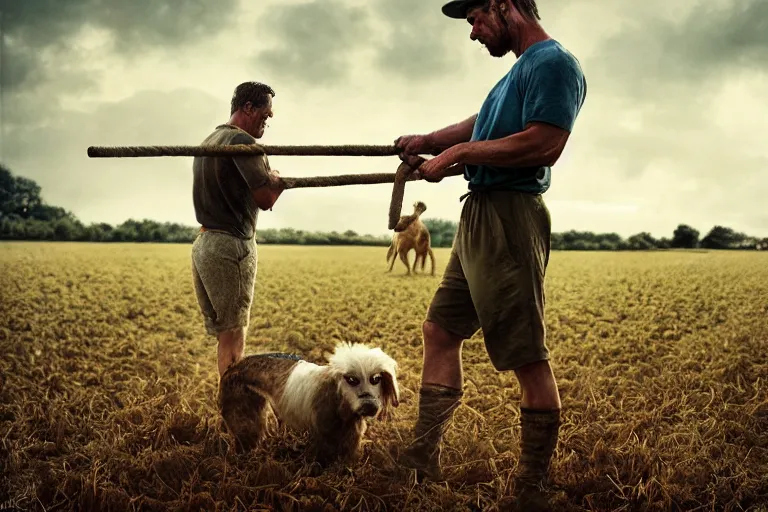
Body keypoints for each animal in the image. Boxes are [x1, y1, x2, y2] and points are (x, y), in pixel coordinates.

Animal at [214, 342, 400, 466]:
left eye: (376, 379)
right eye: (351, 379)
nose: (370, 405)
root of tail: (233, 367)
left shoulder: (351, 439)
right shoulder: (323, 437)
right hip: (246, 421)